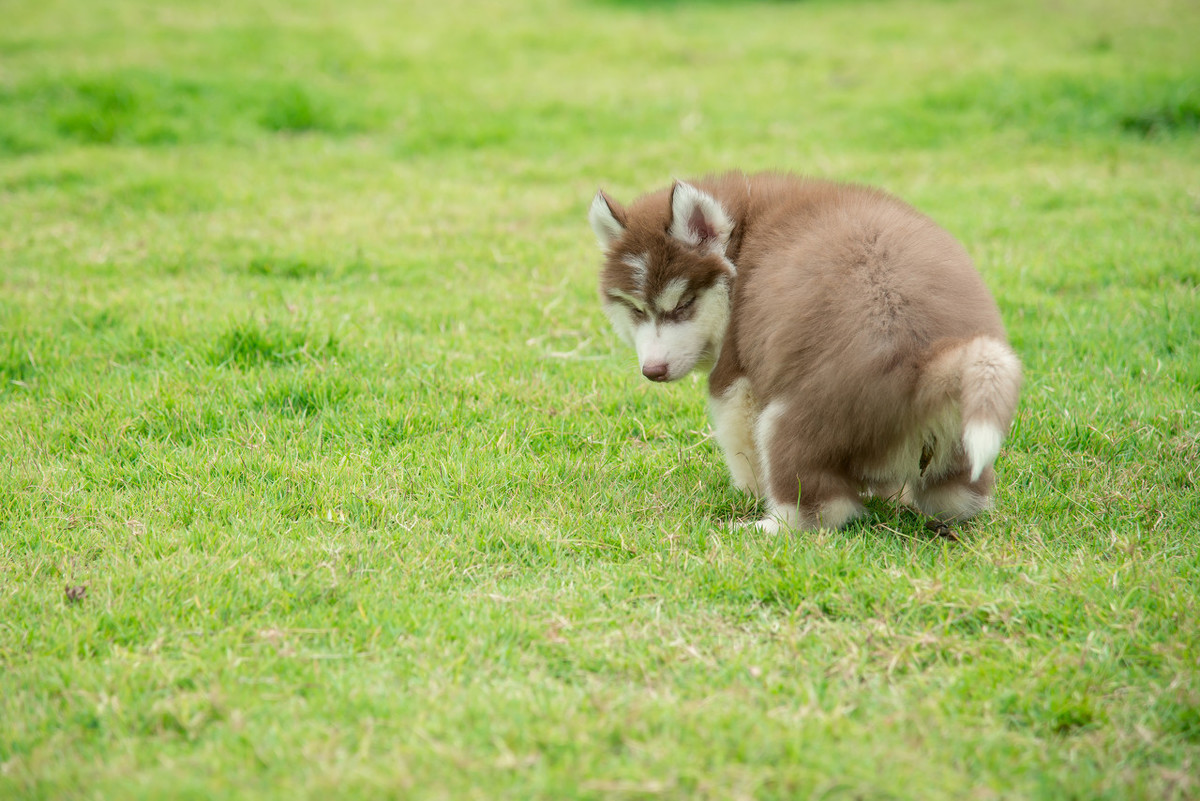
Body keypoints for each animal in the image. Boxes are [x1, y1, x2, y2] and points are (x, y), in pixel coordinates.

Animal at [590, 170, 1022, 532]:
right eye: (637, 309)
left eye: (682, 305)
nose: (653, 371)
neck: (741, 240)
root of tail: (923, 361)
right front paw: (891, 496)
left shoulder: (736, 375)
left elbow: (739, 443)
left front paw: (747, 492)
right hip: (957, 442)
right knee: (959, 499)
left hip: (789, 422)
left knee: (822, 508)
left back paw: (761, 526)